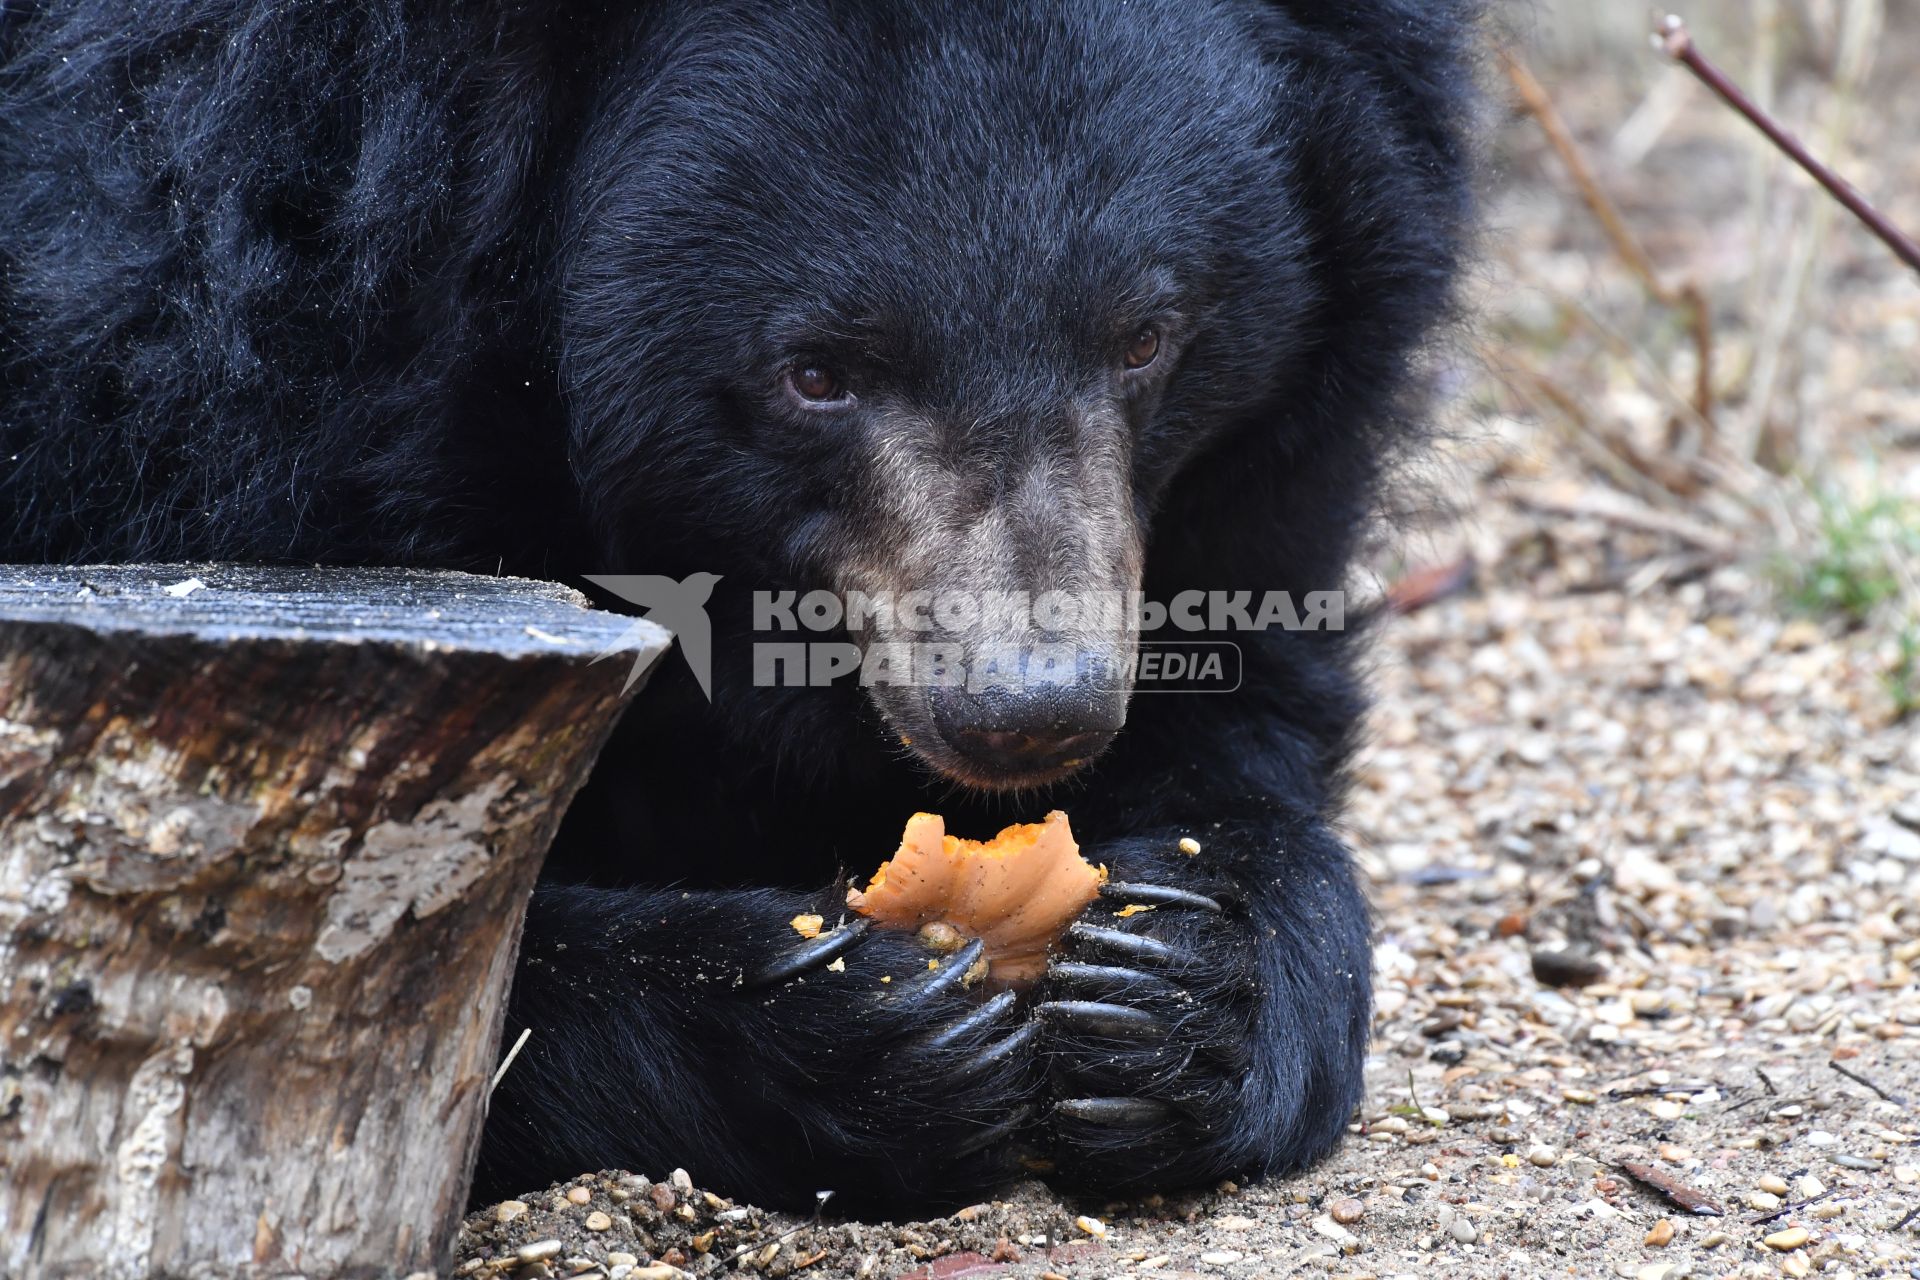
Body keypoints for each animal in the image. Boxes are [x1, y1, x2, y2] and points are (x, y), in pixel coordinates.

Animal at [0, 0, 1474, 1220]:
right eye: (817, 372)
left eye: (1144, 338)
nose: (1026, 712)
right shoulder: (191, 415)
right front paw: (860, 1027)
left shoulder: (1253, 481)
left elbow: (1244, 728)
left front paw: (1177, 986)